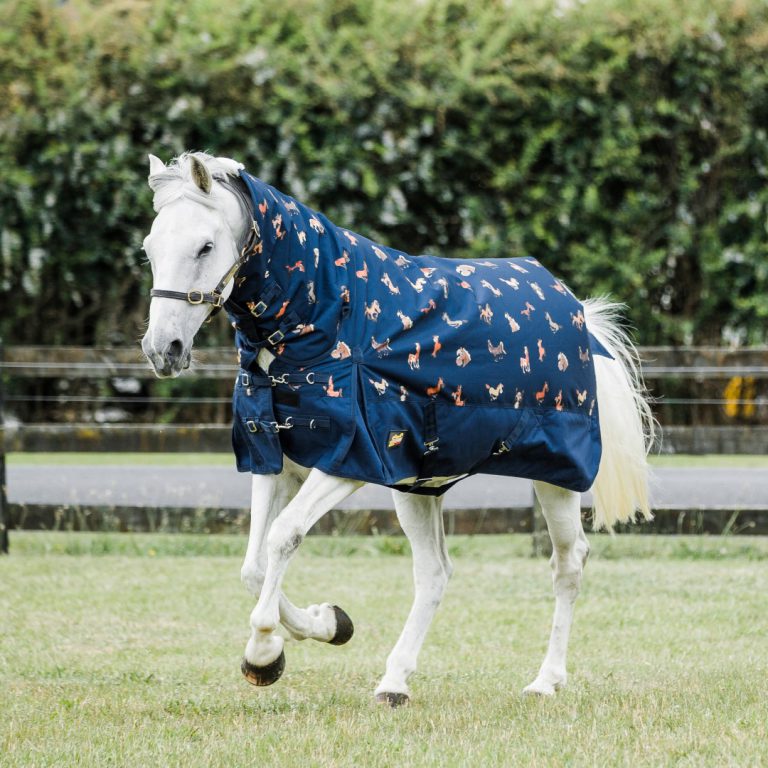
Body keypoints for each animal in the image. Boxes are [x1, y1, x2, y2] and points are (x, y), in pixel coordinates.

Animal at [140, 152, 654, 706]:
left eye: (205, 246)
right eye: (149, 249)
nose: (162, 349)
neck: (323, 315)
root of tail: (577, 314)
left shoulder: (347, 460)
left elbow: (283, 536)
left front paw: (262, 654)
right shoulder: (278, 462)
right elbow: (254, 567)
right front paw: (328, 624)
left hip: (554, 476)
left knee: (568, 563)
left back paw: (545, 680)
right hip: (419, 485)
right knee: (434, 573)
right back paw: (394, 681)